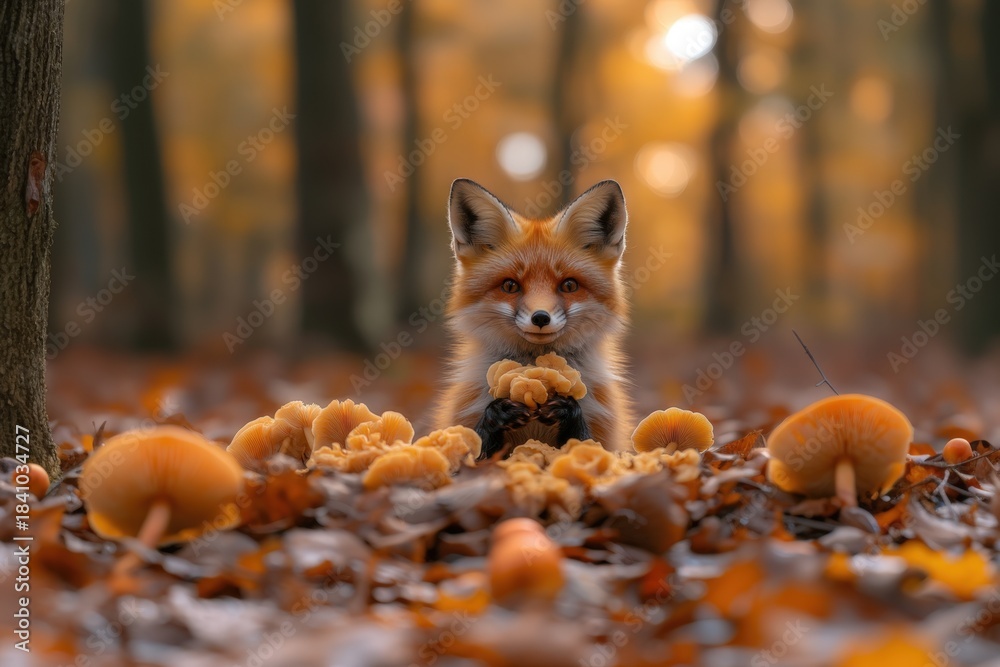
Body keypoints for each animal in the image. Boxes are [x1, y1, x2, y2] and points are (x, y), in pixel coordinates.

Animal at [435, 178, 634, 459]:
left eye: (569, 285)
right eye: (510, 286)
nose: (540, 318)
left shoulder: (605, 434)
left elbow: (586, 447)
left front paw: (568, 410)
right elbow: (473, 452)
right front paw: (498, 413)